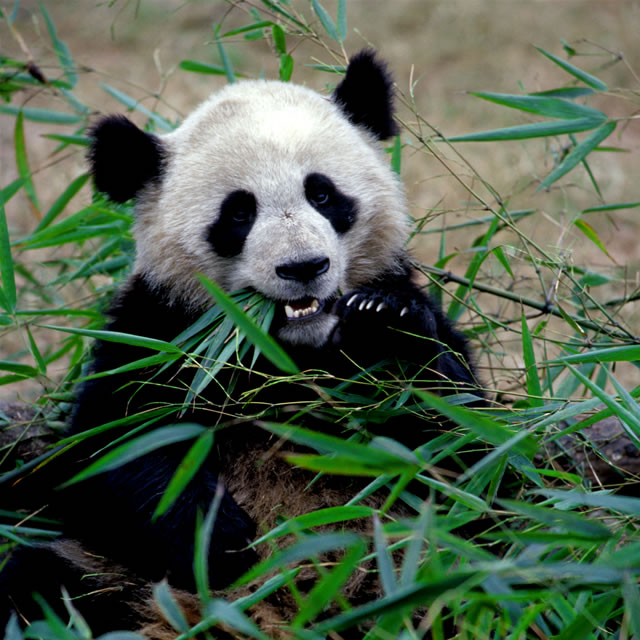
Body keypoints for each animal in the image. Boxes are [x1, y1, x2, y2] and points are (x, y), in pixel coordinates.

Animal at [0, 51, 480, 640]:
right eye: (238, 213)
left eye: (322, 193)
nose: (303, 267)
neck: (283, 351)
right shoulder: (159, 330)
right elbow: (113, 451)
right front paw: (224, 541)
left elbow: (467, 446)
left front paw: (384, 321)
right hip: (114, 578)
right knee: (46, 585)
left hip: (415, 563)